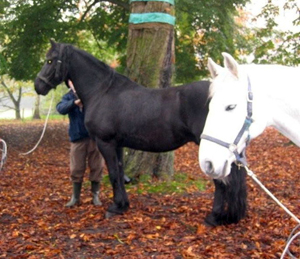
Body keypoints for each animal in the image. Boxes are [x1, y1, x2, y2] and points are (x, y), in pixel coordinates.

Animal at [35, 40, 247, 225]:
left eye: (50, 60)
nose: (38, 85)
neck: (102, 91)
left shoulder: (105, 142)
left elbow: (113, 174)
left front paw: (114, 208)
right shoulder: (117, 145)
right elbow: (120, 172)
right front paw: (123, 205)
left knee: (221, 182)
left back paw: (214, 218)